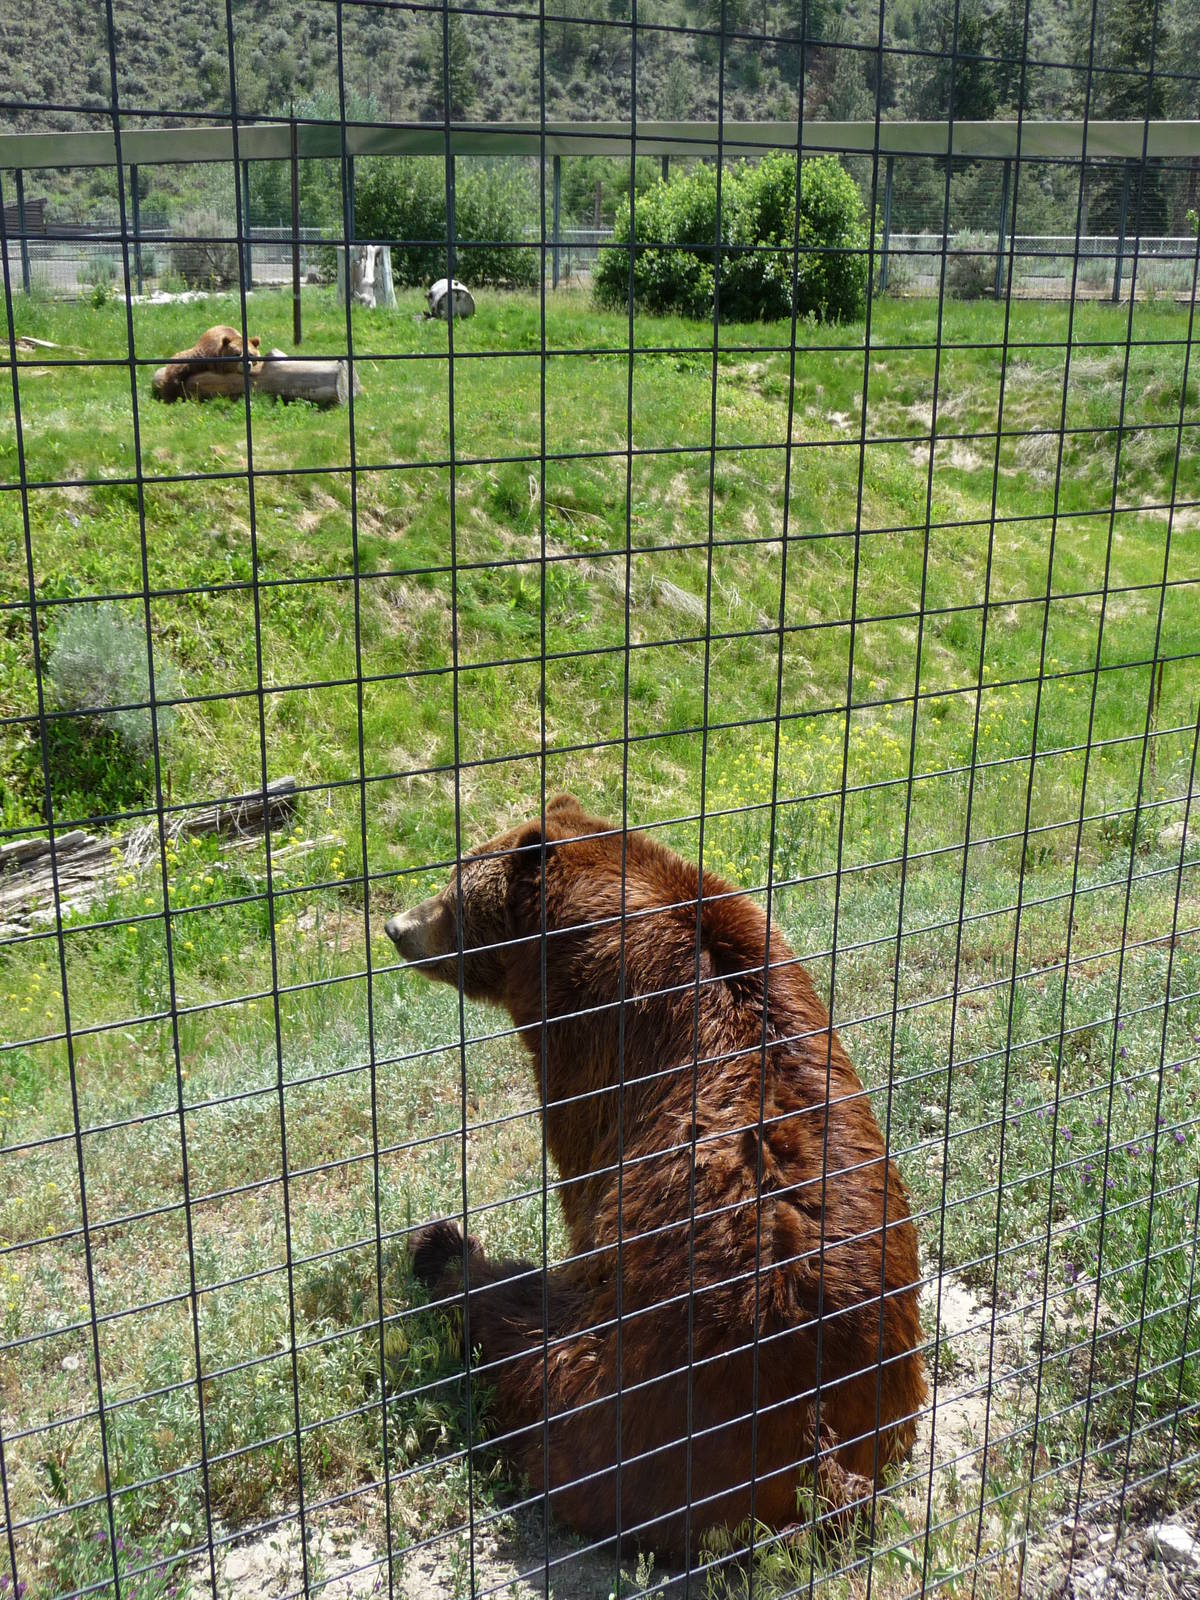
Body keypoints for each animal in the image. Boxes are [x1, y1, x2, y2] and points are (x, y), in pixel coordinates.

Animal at [386, 794, 927, 1559]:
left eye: (452, 889)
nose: (397, 927)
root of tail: (812, 1435)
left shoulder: (587, 1035)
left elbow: (580, 1174)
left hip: (627, 1394)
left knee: (529, 1346)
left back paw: (445, 1252)